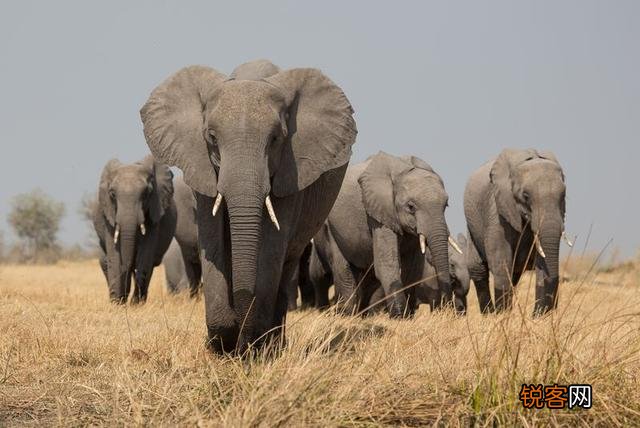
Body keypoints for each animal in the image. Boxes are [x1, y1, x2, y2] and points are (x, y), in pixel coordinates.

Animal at [93, 155, 176, 304]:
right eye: (112, 194)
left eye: (146, 193)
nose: (123, 299)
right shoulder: (108, 215)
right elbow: (114, 255)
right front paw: (117, 303)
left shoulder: (154, 213)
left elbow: (145, 255)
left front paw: (135, 304)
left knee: (148, 264)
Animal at [140, 59, 357, 354]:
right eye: (211, 137)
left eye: (276, 139)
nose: (238, 333)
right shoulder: (203, 167)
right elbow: (213, 243)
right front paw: (221, 344)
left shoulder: (291, 173)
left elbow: (271, 248)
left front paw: (251, 348)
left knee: (287, 262)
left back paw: (274, 345)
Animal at [311, 151, 455, 318]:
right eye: (411, 207)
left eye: (446, 205)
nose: (447, 306)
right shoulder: (378, 213)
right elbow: (386, 264)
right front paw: (400, 317)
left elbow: (413, 268)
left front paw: (408, 316)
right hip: (331, 228)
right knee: (344, 272)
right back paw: (347, 315)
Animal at [463, 148, 567, 315]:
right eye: (526, 196)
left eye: (563, 195)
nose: (545, 311)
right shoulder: (497, 208)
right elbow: (501, 258)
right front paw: (502, 316)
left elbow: (542, 261)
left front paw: (539, 317)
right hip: (472, 225)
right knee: (478, 268)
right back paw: (489, 314)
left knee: (514, 275)